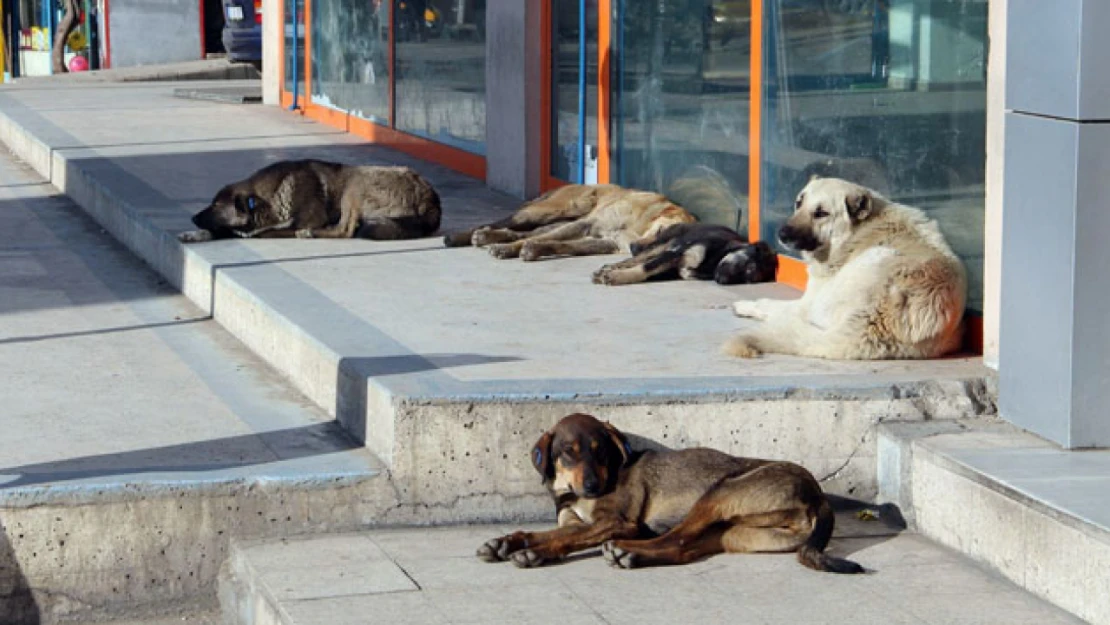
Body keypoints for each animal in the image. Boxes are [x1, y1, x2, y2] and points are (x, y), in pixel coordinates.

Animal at [175, 157, 439, 243]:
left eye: (216, 205)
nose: (193, 218)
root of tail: (430, 196)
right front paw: (193, 234)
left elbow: (265, 232)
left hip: (354, 186)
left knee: (345, 230)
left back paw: (310, 233)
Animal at [477, 412, 865, 572]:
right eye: (568, 452)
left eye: (599, 451)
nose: (592, 486)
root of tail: (818, 495)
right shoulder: (575, 521)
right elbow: (551, 533)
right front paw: (509, 542)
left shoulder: (617, 522)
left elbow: (564, 539)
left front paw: (532, 552)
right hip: (733, 534)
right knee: (683, 549)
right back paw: (633, 557)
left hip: (720, 493)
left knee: (675, 538)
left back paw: (624, 552)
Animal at [590, 222, 781, 286]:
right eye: (749, 267)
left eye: (749, 278)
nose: (723, 280)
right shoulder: (676, 254)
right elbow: (646, 267)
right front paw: (618, 277)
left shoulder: (676, 267)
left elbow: (648, 269)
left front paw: (619, 276)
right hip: (664, 244)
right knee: (637, 258)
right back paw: (610, 268)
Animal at [723, 178, 967, 359]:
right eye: (798, 203)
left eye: (821, 213)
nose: (781, 233)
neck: (857, 232)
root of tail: (874, 320)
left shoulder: (807, 301)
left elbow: (769, 303)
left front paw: (746, 304)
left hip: (871, 259)